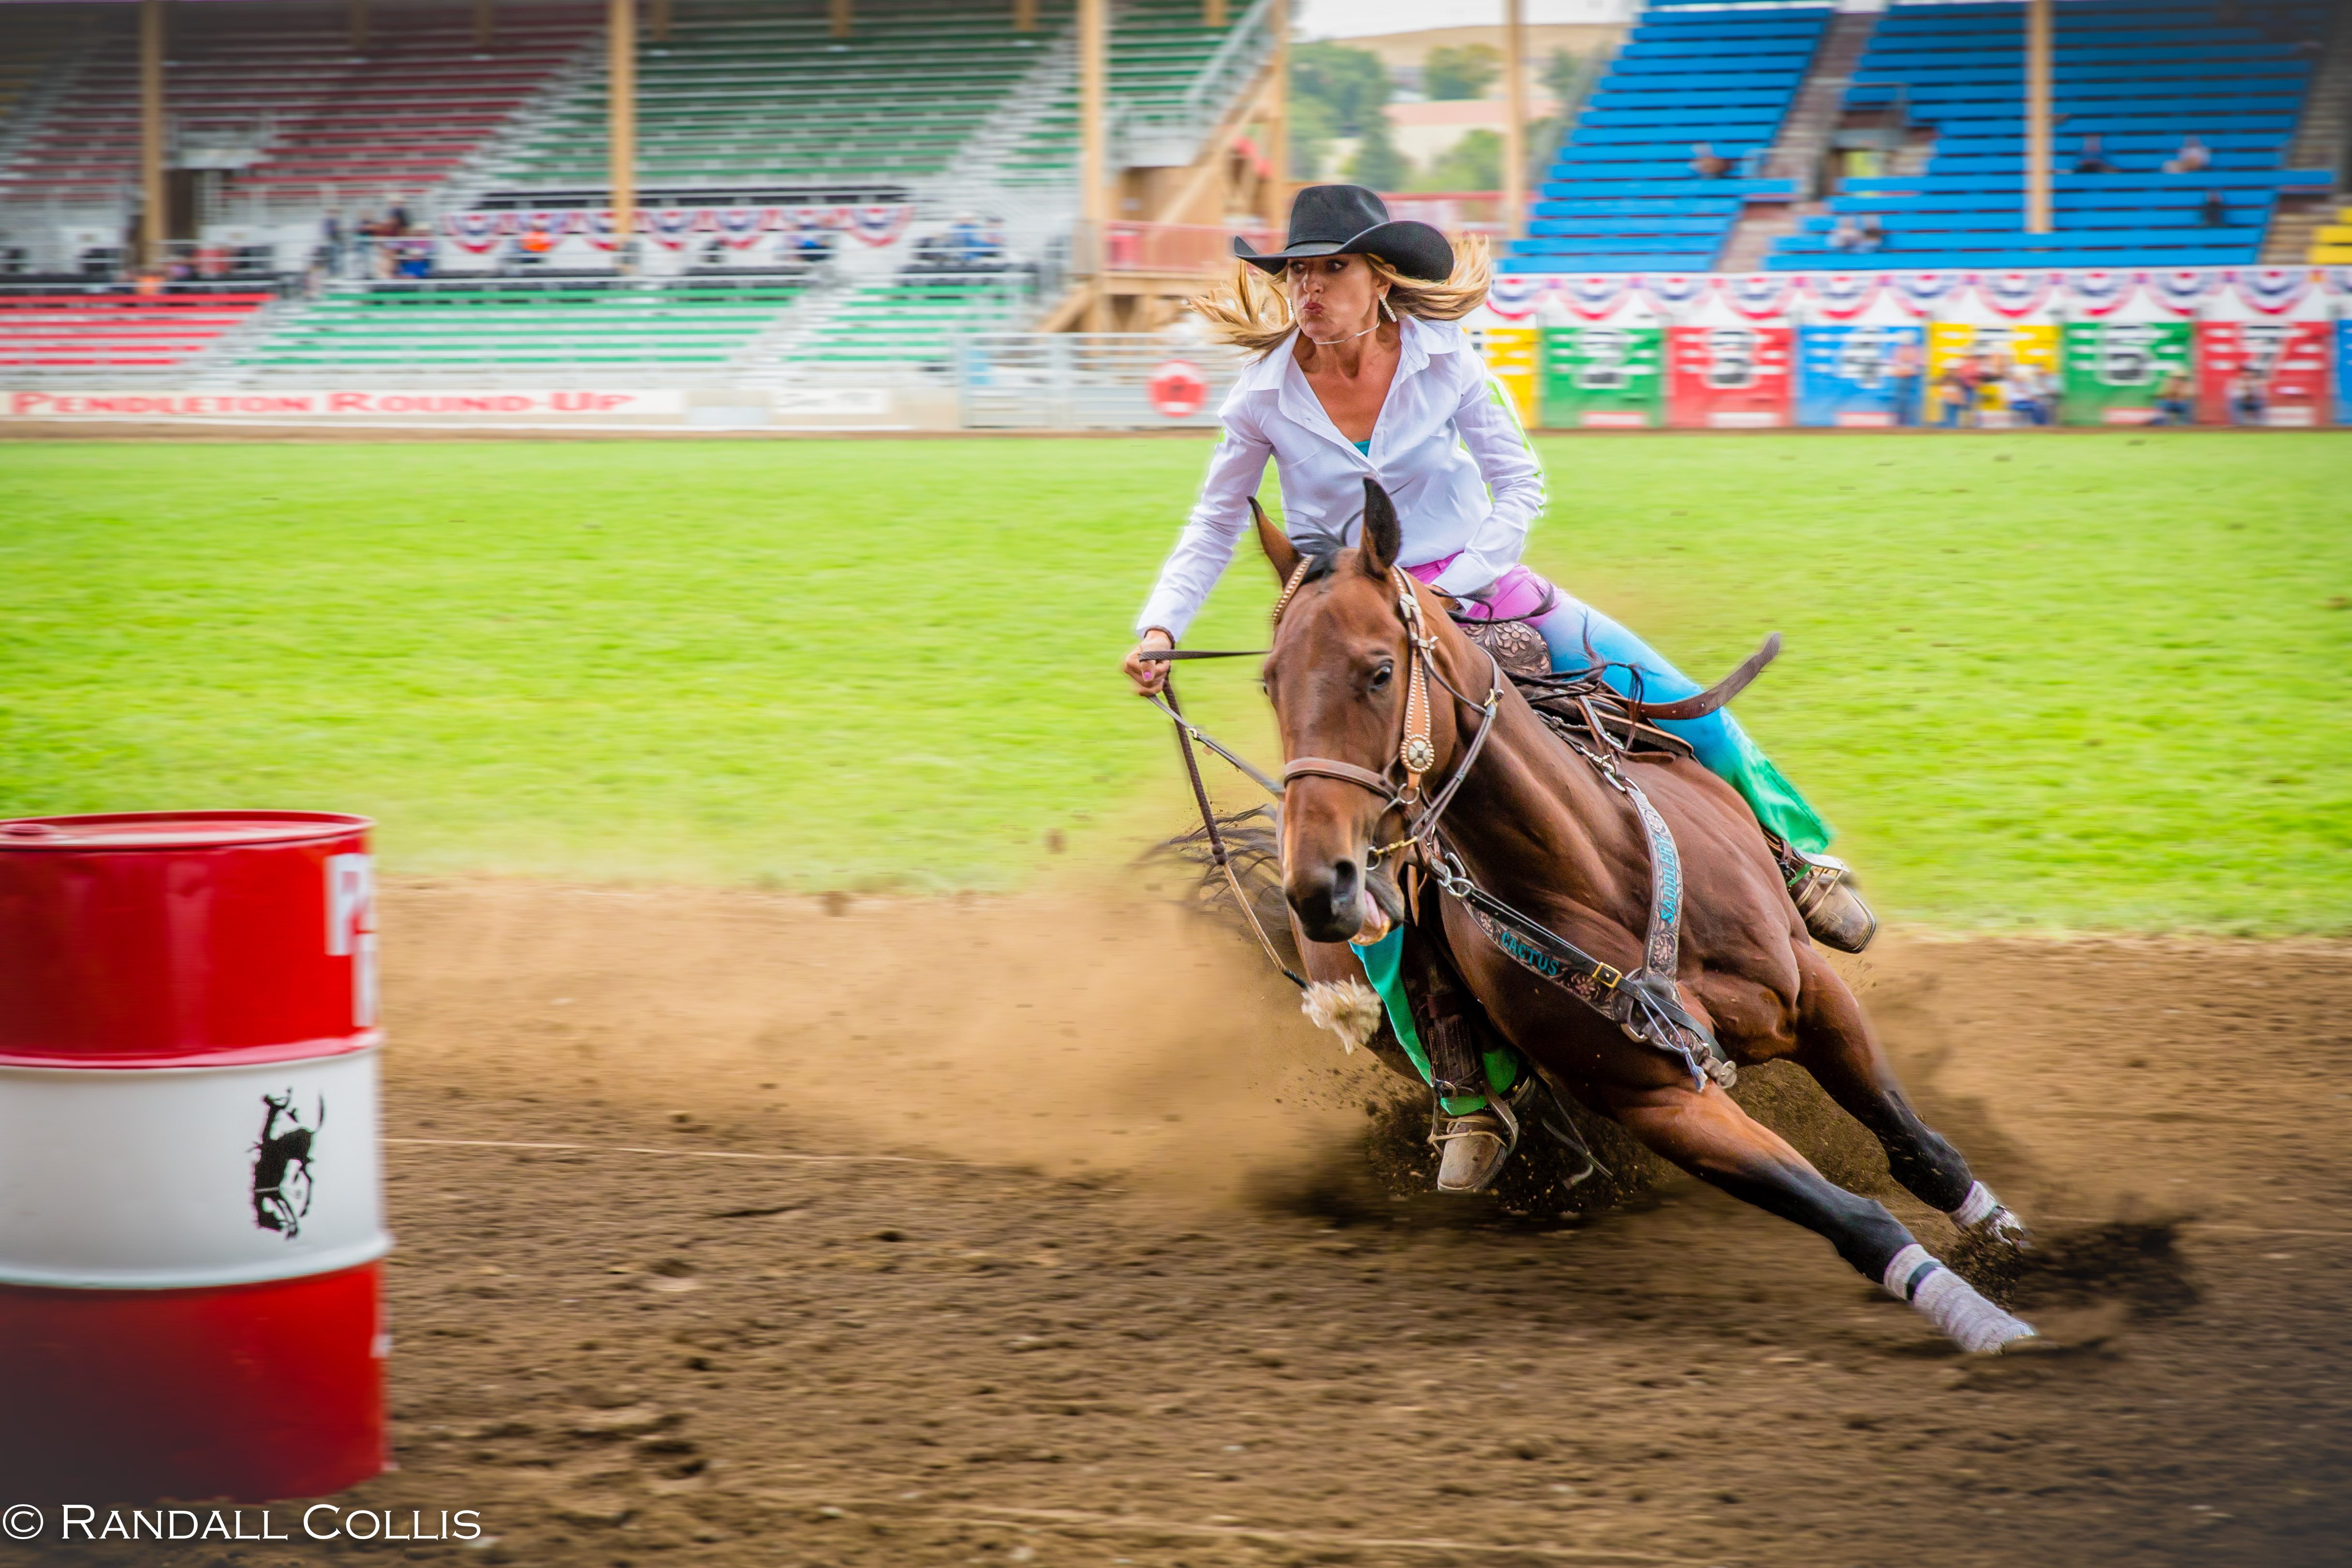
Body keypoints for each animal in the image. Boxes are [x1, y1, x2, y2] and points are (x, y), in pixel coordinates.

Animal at [1259, 480, 2036, 1354]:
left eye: (1379, 670)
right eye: (1270, 681)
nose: (1319, 883)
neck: (1598, 874)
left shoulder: (1811, 992)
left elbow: (1917, 1148)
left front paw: (2007, 1242)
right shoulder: (1656, 1100)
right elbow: (1851, 1217)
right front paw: (1981, 1318)